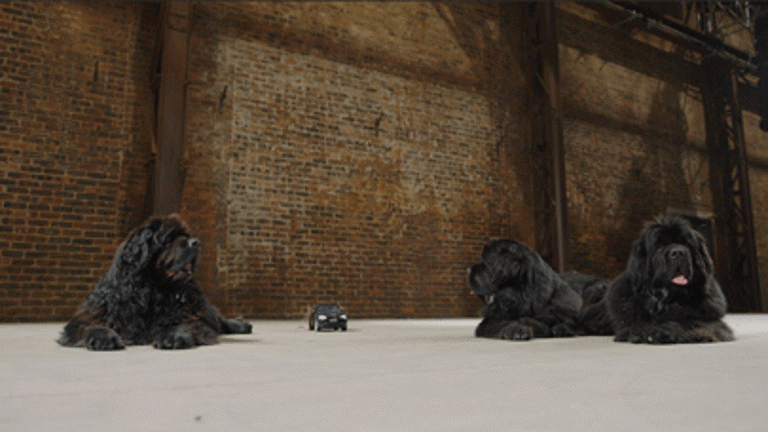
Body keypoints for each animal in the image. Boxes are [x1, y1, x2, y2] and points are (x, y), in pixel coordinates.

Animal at [60, 214, 252, 350]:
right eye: (169, 239)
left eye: (186, 235)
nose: (196, 243)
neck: (151, 292)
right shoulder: (91, 315)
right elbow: (88, 326)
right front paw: (104, 337)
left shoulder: (192, 316)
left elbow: (187, 324)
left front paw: (174, 336)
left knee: (220, 320)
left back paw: (241, 325)